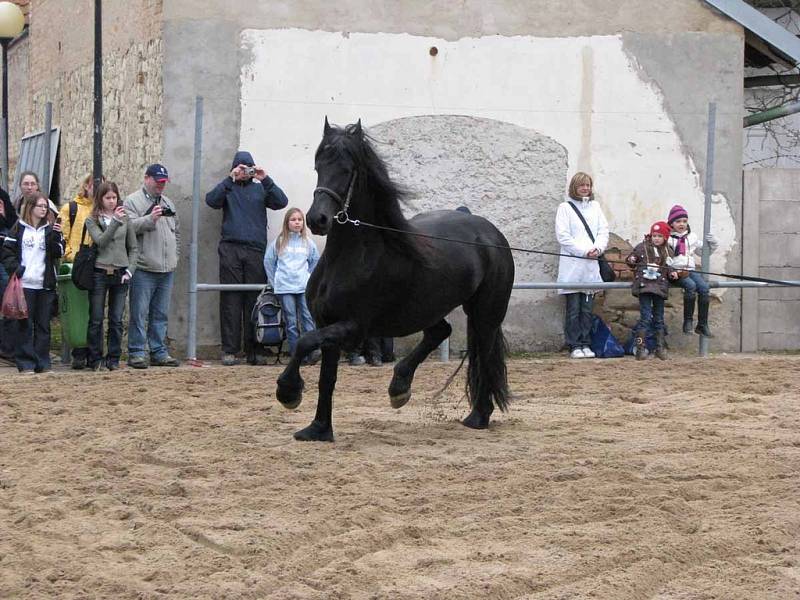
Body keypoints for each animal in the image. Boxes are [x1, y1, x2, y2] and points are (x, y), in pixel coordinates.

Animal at [276, 119, 512, 442]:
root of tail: (491, 233)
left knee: (484, 355)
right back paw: (399, 387)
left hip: (485, 314)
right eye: (318, 166)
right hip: (428, 309)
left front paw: (288, 393)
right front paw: (319, 429)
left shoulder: (354, 327)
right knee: (440, 332)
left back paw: (478, 416)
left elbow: (303, 342)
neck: (351, 256)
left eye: (347, 169)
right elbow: (327, 378)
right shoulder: (328, 325)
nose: (316, 219)